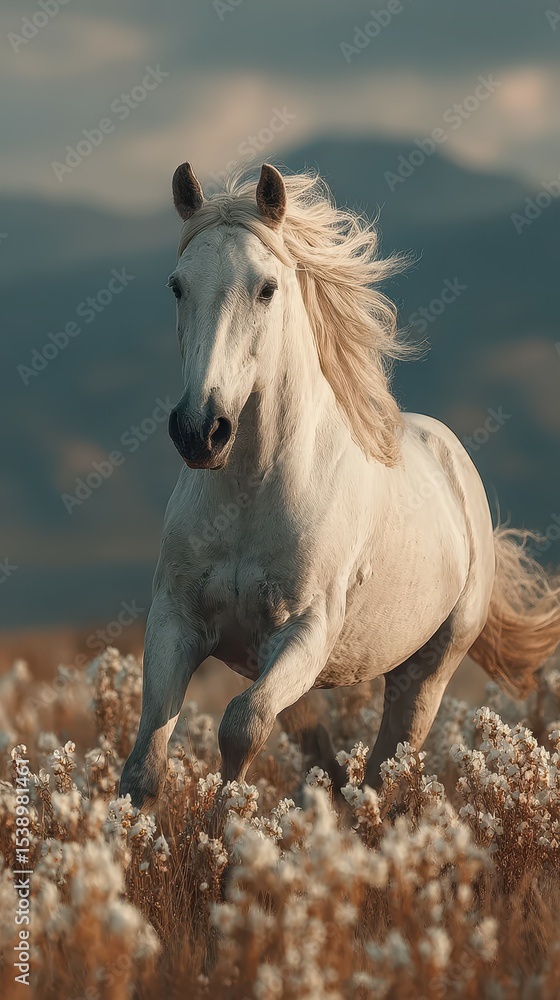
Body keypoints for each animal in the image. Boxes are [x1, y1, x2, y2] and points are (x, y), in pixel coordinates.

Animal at [120, 161, 560, 810]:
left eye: (266, 288)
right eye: (177, 286)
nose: (201, 430)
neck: (249, 495)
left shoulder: (307, 631)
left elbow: (240, 727)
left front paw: (227, 830)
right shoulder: (176, 620)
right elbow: (145, 762)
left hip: (425, 671)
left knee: (384, 768)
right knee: (326, 758)